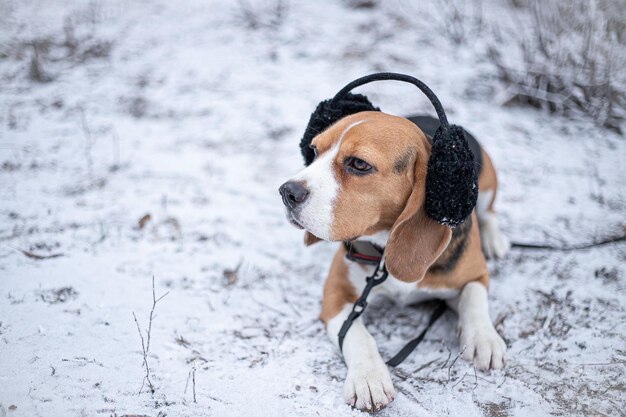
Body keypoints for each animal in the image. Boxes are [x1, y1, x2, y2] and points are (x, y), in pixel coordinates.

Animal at [278, 110, 508, 410]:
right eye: (314, 151)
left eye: (359, 164)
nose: (286, 192)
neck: (384, 252)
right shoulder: (336, 292)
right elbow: (357, 334)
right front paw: (369, 377)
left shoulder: (476, 273)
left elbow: (474, 296)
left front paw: (484, 337)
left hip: (488, 184)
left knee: (489, 213)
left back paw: (494, 239)